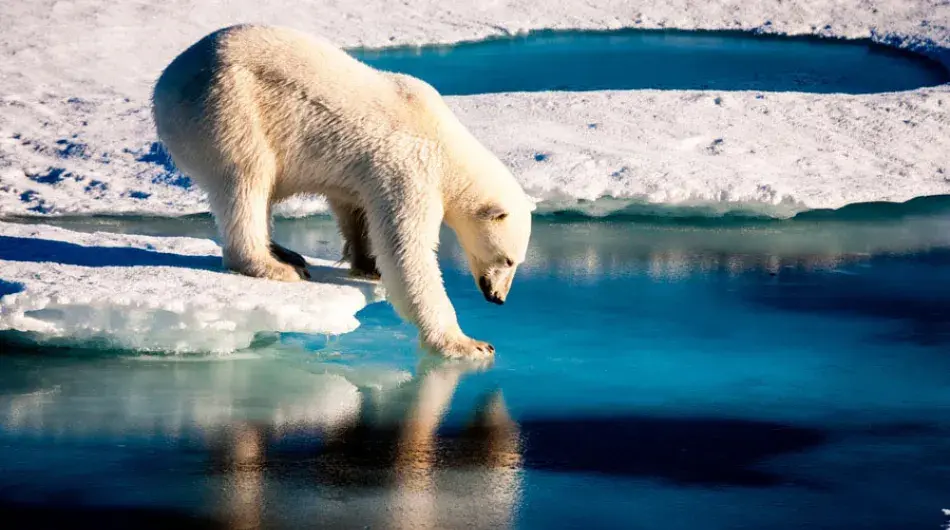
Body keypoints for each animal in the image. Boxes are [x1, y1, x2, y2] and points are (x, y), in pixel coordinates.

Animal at [152, 25, 533, 358]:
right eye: (508, 260)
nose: (498, 297)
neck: (444, 142)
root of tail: (165, 83)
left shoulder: (366, 173)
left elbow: (355, 208)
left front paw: (367, 264)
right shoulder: (410, 169)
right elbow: (408, 251)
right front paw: (468, 343)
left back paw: (285, 252)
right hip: (228, 107)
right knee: (247, 178)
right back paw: (273, 265)